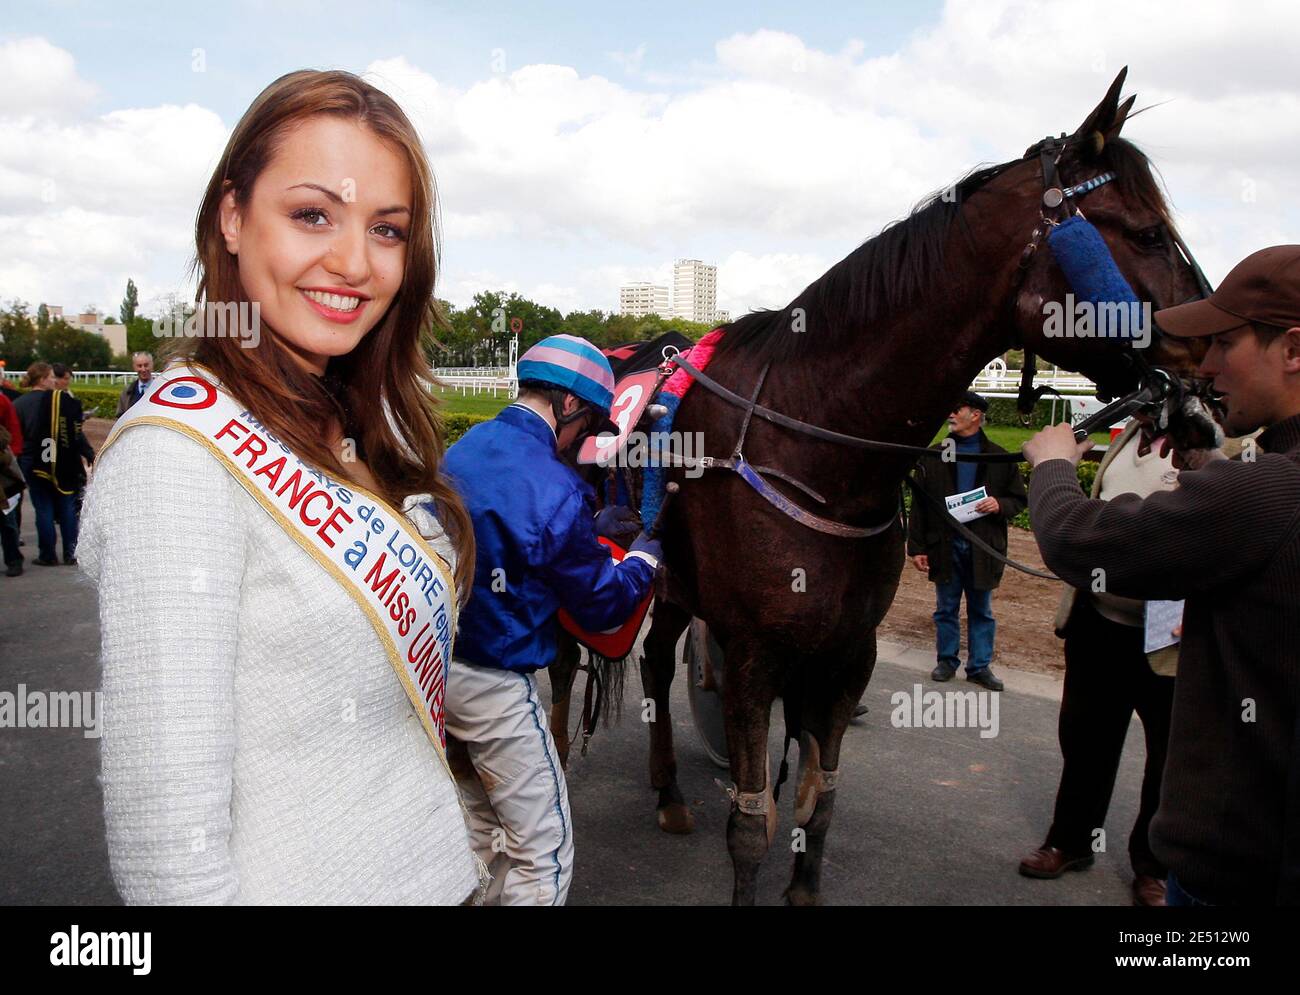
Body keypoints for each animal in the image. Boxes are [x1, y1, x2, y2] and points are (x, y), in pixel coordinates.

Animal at [553, 69, 1201, 905]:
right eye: (1147, 232)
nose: (1206, 370)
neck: (815, 438)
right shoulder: (755, 652)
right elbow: (752, 820)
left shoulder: (846, 651)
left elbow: (818, 801)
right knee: (569, 667)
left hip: (670, 584)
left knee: (660, 662)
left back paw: (667, 791)